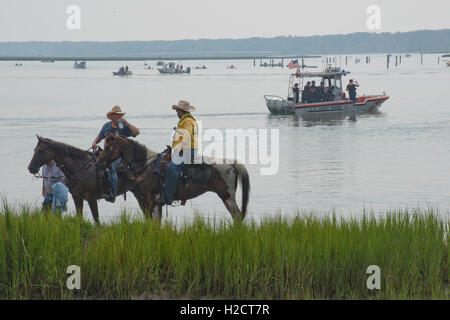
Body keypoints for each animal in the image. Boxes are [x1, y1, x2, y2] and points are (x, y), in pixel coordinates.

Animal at [96, 134, 250, 221]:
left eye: (108, 147)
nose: (98, 162)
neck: (147, 166)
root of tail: (230, 162)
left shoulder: (152, 199)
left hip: (227, 196)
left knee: (237, 216)